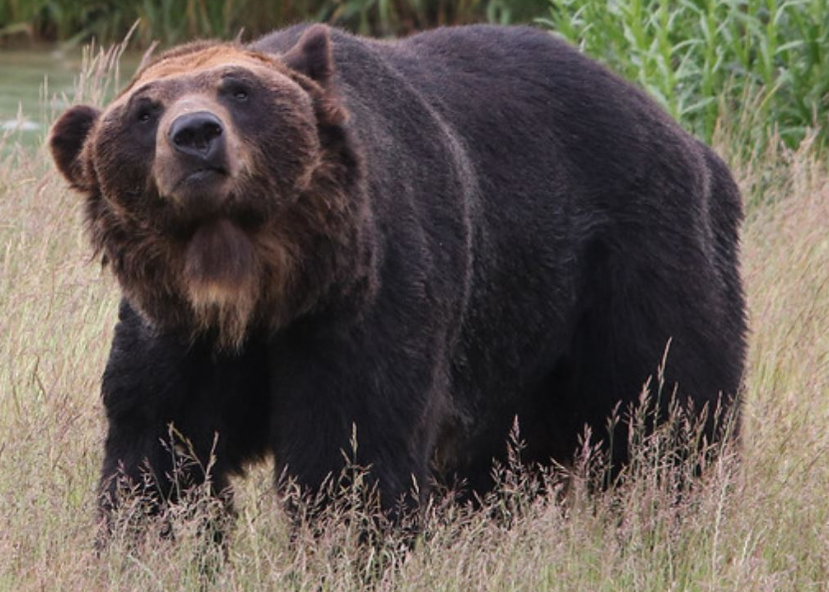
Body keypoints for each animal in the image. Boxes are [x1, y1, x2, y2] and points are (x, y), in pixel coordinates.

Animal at [48, 24, 748, 528]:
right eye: (143, 112)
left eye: (239, 90)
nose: (195, 133)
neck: (256, 286)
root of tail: (682, 134)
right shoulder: (176, 329)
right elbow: (160, 453)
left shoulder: (368, 301)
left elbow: (349, 451)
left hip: (636, 258)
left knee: (671, 408)